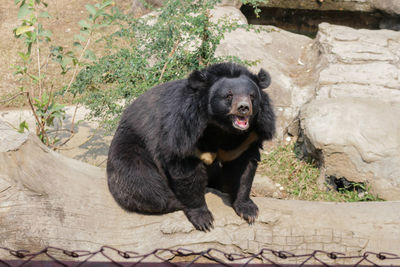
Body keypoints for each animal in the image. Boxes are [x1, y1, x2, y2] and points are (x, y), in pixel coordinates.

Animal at [106, 61, 276, 231]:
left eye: (252, 96)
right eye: (229, 96)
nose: (244, 108)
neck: (221, 128)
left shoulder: (247, 139)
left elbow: (242, 170)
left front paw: (248, 211)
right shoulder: (184, 132)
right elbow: (187, 173)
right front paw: (203, 219)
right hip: (130, 148)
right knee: (143, 183)